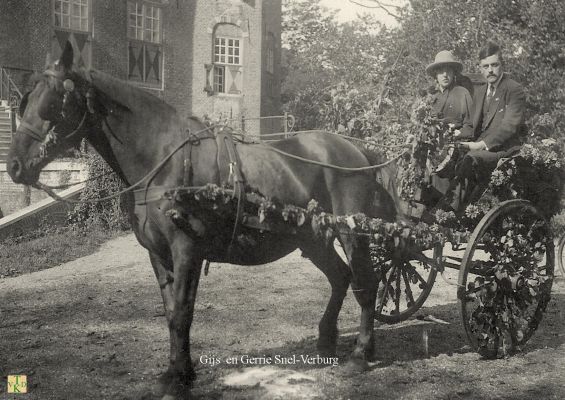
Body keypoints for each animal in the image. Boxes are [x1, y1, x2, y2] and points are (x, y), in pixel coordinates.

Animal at [7, 42, 396, 398]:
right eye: (25, 101)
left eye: (51, 103)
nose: (14, 166)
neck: (161, 159)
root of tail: (358, 150)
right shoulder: (158, 253)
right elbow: (170, 313)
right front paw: (176, 373)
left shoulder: (186, 249)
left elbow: (182, 312)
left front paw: (179, 380)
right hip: (312, 238)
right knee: (341, 277)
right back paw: (327, 340)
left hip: (352, 233)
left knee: (366, 282)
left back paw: (361, 354)